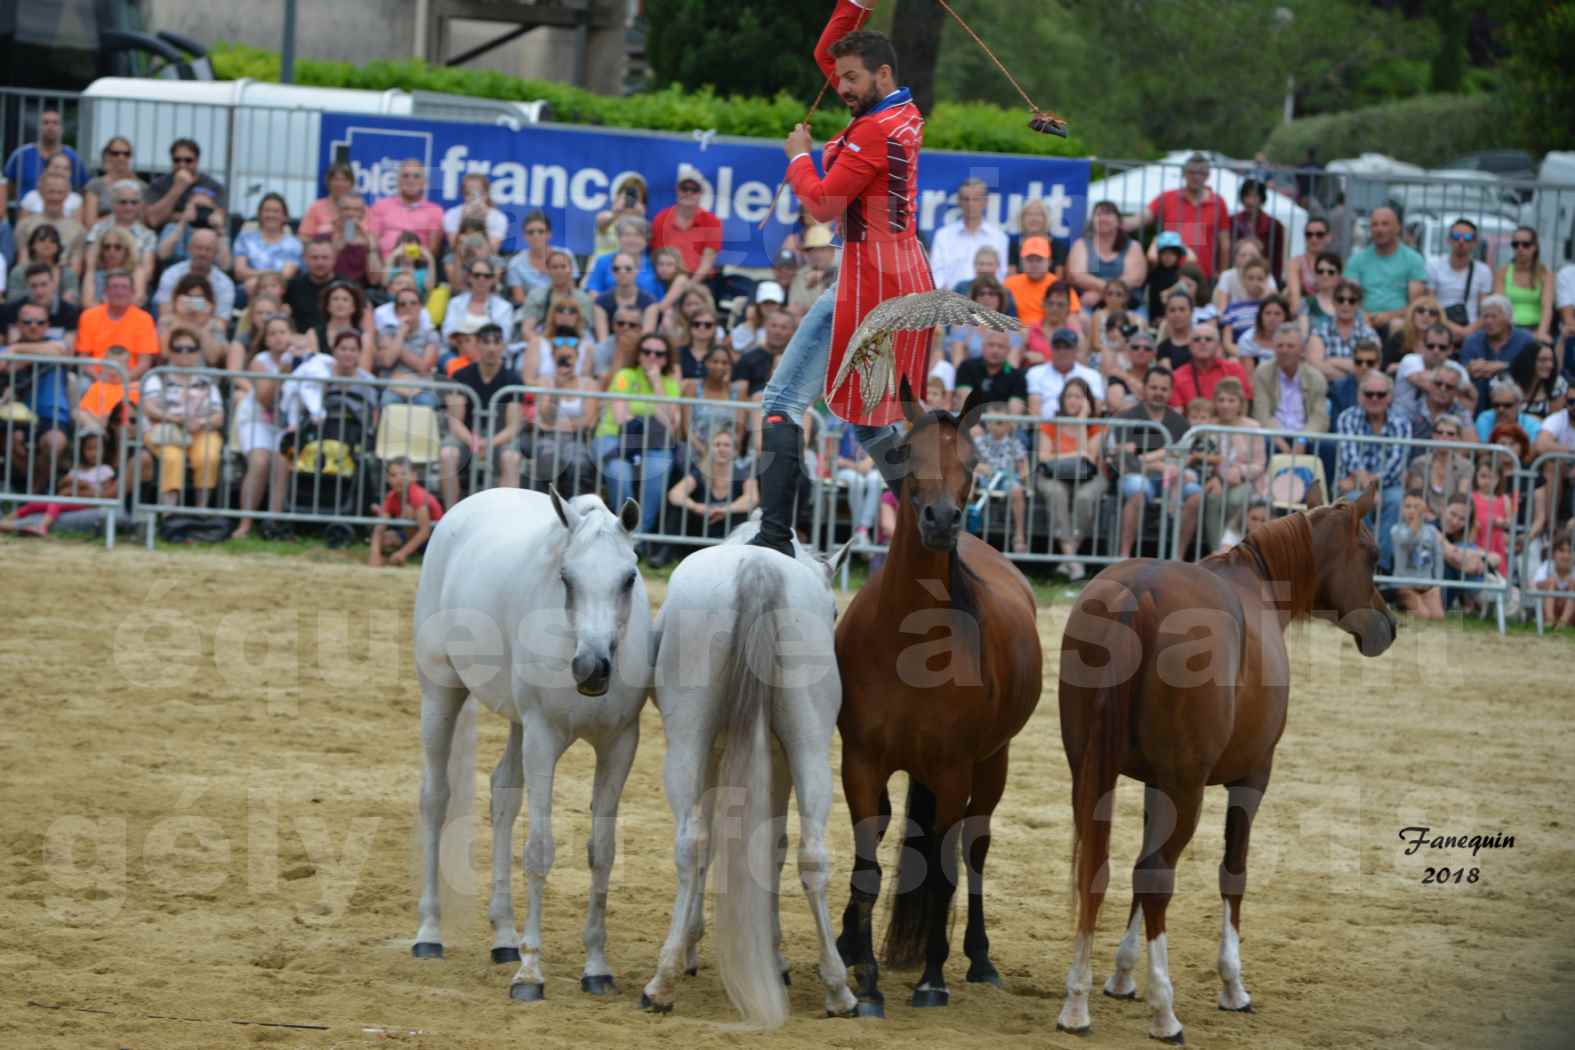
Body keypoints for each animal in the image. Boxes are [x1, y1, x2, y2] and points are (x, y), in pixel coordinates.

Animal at [412, 484, 652, 1001]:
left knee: (503, 795)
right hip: (441, 693)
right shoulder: (543, 738)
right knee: (434, 798)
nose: (591, 669)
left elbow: (603, 851)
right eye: (566, 577)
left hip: (517, 723)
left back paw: (504, 938)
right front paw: (530, 974)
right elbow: (540, 849)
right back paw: (429, 934)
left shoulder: (619, 744)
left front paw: (596, 967)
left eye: (629, 577)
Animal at [639, 525, 863, 1026]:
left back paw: (662, 980)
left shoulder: (717, 756)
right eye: (835, 610)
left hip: (689, 745)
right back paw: (838, 990)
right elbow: (771, 848)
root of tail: (758, 570)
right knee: (813, 855)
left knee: (691, 844)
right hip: (808, 747)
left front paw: (694, 944)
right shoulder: (775, 762)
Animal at [837, 384, 1045, 1020]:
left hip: (993, 761)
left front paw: (931, 979)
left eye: (973, 462)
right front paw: (866, 981)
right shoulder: (860, 763)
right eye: (905, 451)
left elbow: (943, 872)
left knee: (973, 848)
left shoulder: (953, 772)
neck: (910, 639)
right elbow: (867, 867)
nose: (943, 520)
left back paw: (978, 959)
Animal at [1052, 481, 1398, 1045]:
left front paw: (1122, 974)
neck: (1257, 586)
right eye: (1372, 555)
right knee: (1157, 876)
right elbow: (1232, 872)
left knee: (1100, 869)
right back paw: (1165, 1013)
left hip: (1093, 775)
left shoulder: (1154, 783)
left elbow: (1134, 866)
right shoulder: (1251, 777)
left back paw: (1076, 1002)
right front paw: (1232, 985)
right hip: (1188, 788)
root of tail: (1135, 595)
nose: (1388, 625)